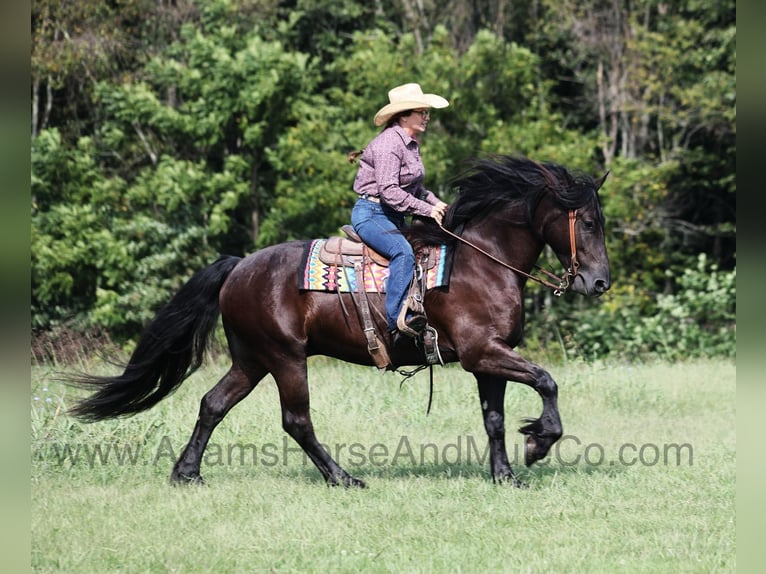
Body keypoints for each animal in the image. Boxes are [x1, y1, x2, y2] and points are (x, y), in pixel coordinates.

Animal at [65, 155, 610, 488]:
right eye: (586, 222)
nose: (600, 282)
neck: (480, 262)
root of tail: (238, 266)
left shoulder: (486, 359)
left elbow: (494, 418)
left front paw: (506, 475)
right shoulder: (484, 352)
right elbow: (546, 380)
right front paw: (539, 442)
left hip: (251, 360)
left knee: (212, 404)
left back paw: (188, 473)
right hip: (285, 358)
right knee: (297, 420)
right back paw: (343, 477)